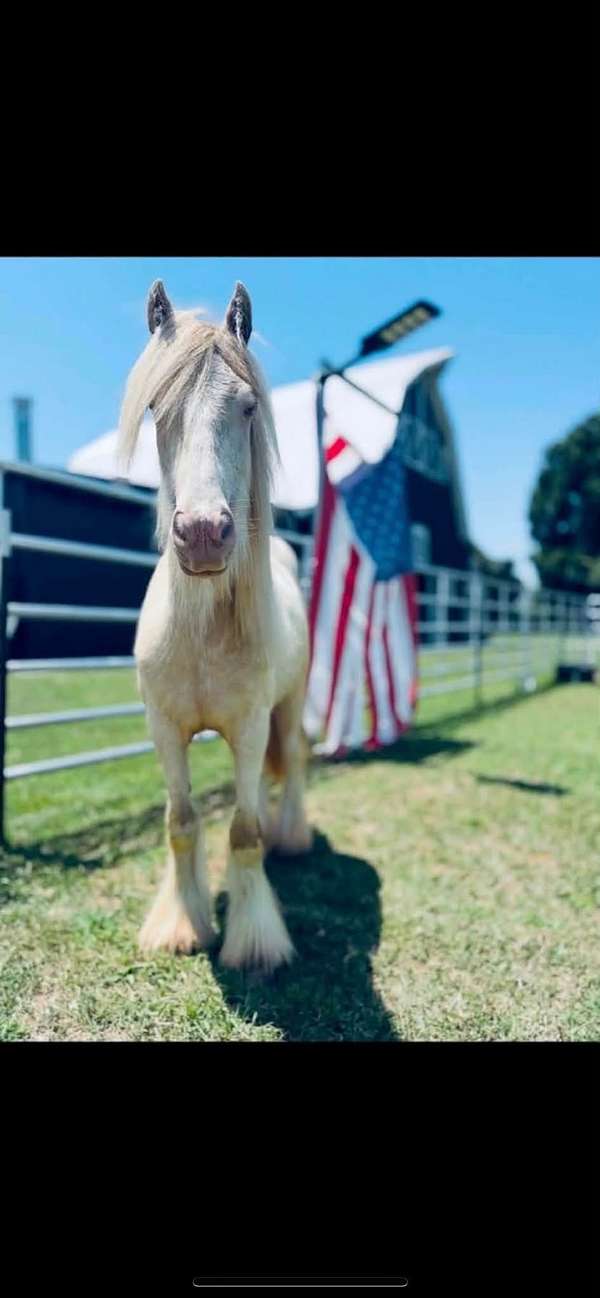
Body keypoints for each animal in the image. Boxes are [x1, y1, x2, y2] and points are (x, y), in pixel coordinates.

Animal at [118, 279, 313, 973]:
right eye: (156, 407)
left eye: (249, 407)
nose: (203, 534)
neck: (200, 634)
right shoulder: (165, 729)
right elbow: (181, 823)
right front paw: (182, 925)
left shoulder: (250, 727)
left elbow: (244, 830)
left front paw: (254, 943)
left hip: (289, 703)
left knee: (295, 759)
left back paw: (293, 838)